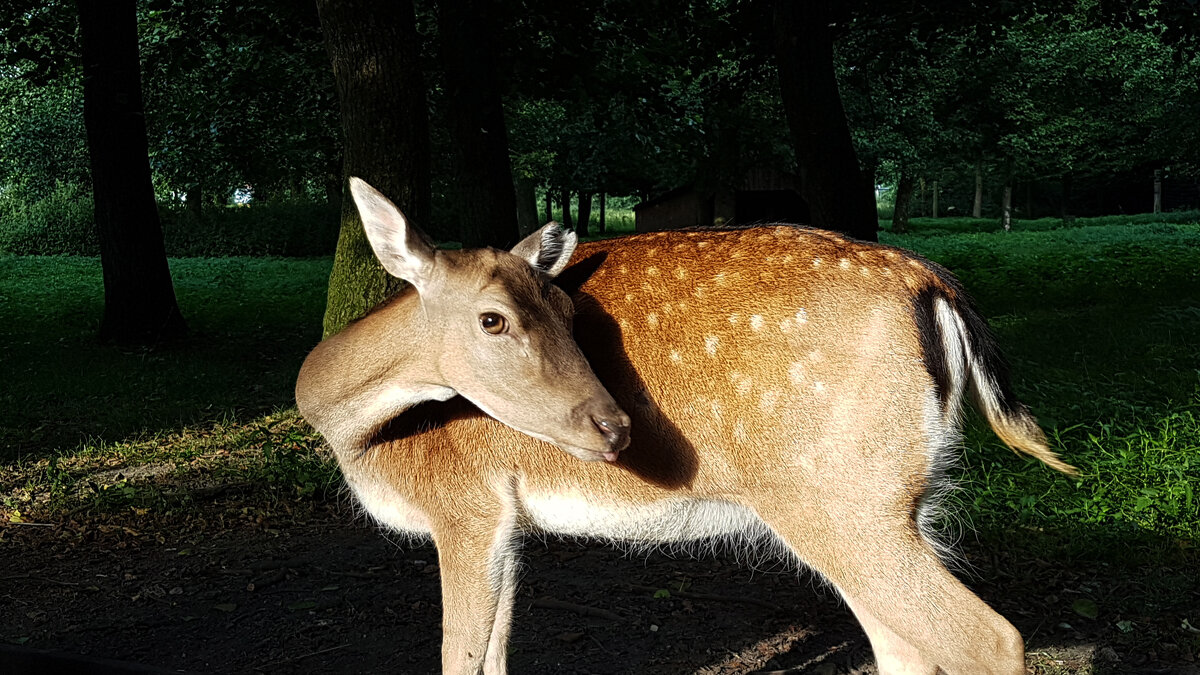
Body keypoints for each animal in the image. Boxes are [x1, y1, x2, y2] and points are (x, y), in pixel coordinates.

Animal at [295, 176, 1075, 667]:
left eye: (572, 312)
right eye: (493, 318)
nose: (613, 428)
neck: (355, 436)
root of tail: (935, 286)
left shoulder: (464, 506)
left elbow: (460, 658)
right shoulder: (506, 525)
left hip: (841, 496)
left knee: (986, 638)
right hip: (903, 499)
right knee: (905, 645)